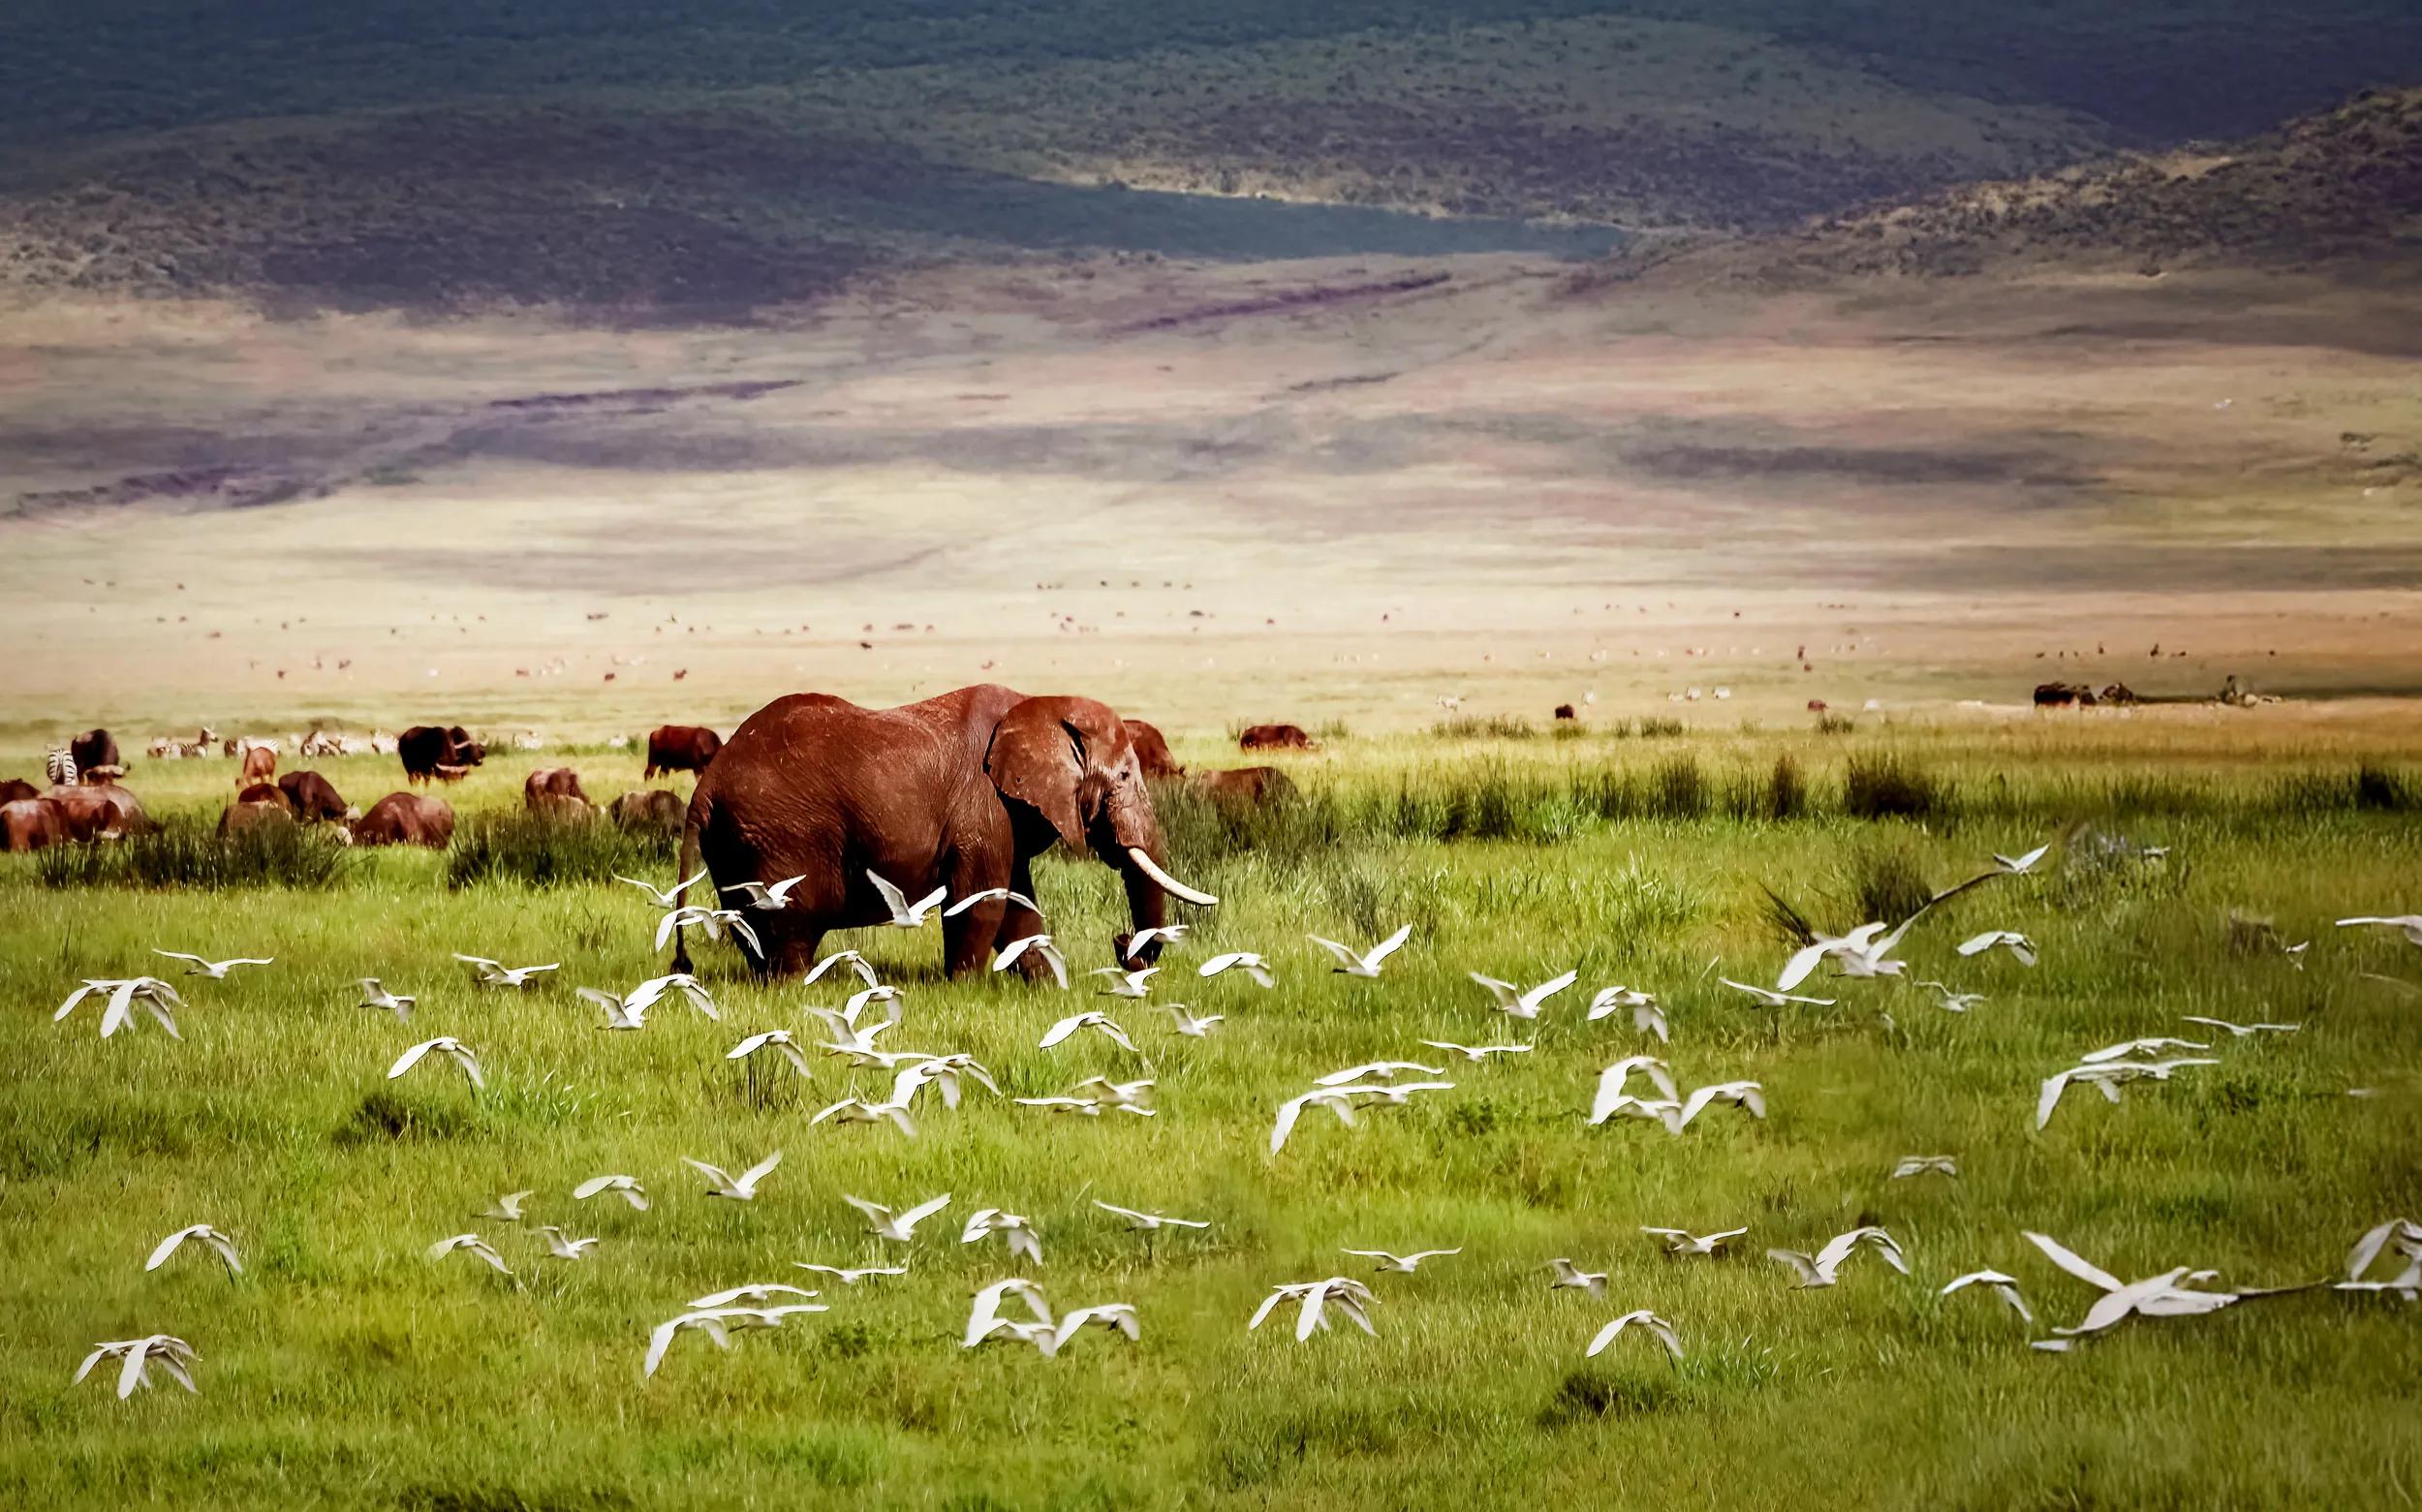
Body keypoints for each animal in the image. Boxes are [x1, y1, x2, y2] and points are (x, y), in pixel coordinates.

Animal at [667, 685, 1217, 980]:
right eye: (1123, 776)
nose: (1124, 948)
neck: (1039, 704)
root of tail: (707, 782)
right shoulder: (985, 805)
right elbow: (983, 902)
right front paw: (963, 987)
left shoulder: (1006, 815)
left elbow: (1017, 905)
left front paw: (1047, 987)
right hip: (780, 837)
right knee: (789, 925)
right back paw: (796, 985)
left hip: (741, 840)